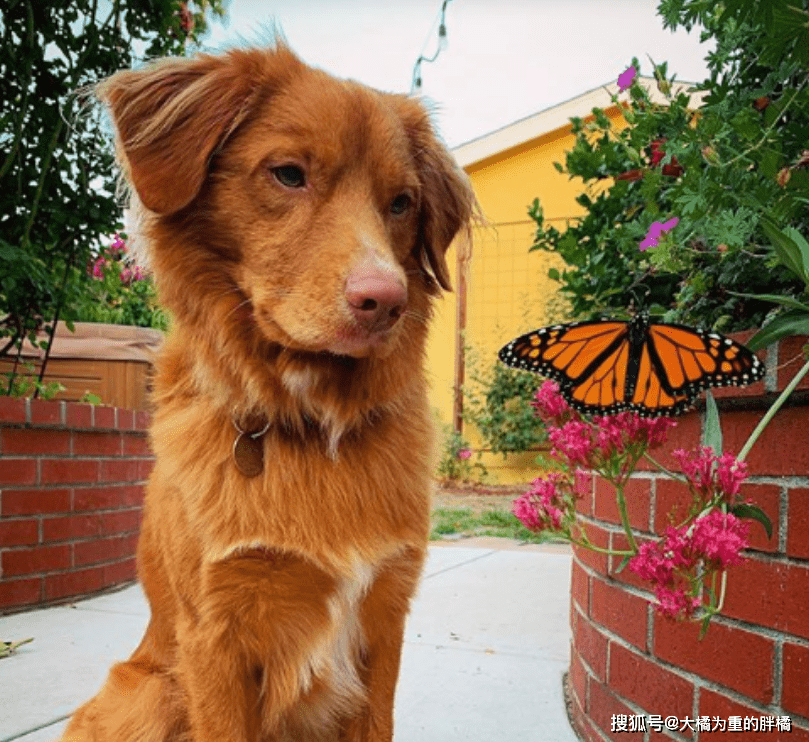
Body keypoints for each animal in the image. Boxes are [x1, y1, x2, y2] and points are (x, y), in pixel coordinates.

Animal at [64, 42, 474, 742]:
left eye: (400, 203)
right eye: (288, 174)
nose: (385, 302)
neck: (310, 418)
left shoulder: (384, 624)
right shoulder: (214, 639)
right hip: (150, 692)